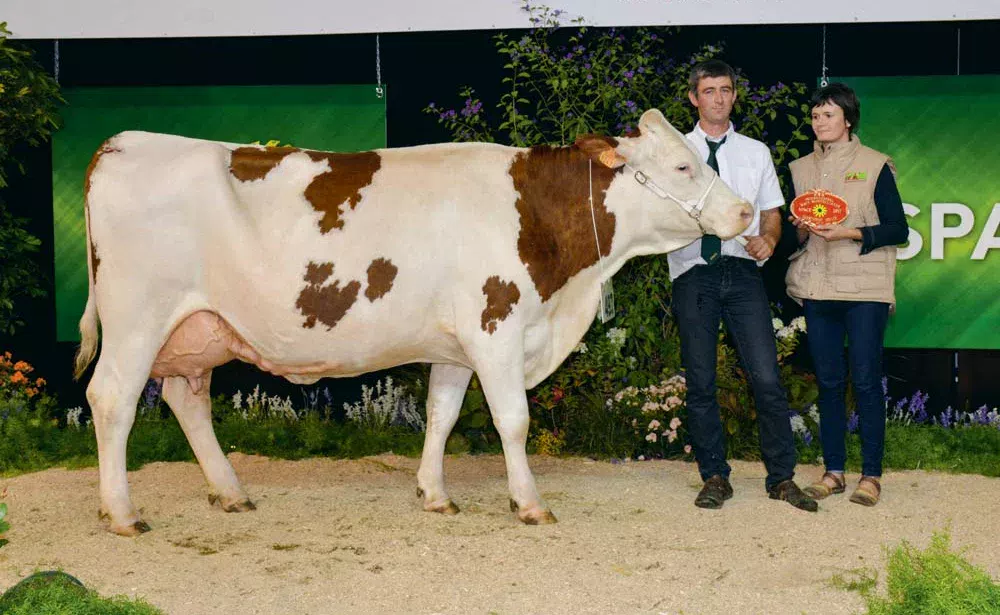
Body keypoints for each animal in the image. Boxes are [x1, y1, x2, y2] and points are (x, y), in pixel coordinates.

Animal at [78, 109, 752, 536]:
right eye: (683, 167)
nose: (746, 211)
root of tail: (123, 143)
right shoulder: (496, 328)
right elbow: (513, 420)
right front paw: (529, 504)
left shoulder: (455, 346)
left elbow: (441, 415)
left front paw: (435, 495)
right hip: (137, 319)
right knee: (112, 399)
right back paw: (121, 513)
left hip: (194, 328)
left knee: (186, 399)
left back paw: (231, 492)